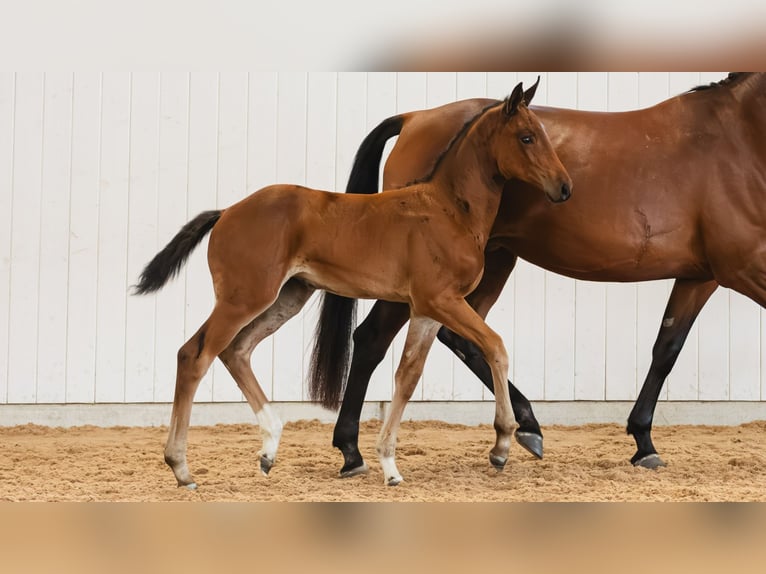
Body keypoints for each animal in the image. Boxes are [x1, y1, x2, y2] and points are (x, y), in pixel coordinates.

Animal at [134, 80, 572, 488]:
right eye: (527, 136)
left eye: (544, 133)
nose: (565, 187)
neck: (449, 209)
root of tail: (225, 212)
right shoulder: (441, 300)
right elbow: (495, 347)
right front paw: (504, 443)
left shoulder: (426, 309)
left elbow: (407, 376)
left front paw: (390, 465)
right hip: (244, 297)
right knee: (195, 355)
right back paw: (182, 468)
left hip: (287, 297)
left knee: (236, 351)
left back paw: (269, 448)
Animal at [314, 72, 766, 476]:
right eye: (528, 138)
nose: (564, 187)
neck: (738, 138)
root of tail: (413, 118)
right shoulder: (742, 267)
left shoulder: (700, 276)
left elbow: (666, 349)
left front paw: (643, 443)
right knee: (373, 338)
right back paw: (354, 451)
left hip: (491, 261)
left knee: (456, 338)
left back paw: (523, 429)